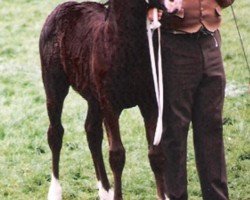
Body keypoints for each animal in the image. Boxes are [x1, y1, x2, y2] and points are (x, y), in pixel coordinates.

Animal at [40, 0, 170, 200]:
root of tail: (62, 8)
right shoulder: (110, 105)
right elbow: (117, 155)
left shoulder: (150, 103)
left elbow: (156, 153)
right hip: (54, 86)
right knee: (55, 133)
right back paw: (55, 191)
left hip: (94, 98)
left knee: (92, 132)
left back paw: (105, 190)